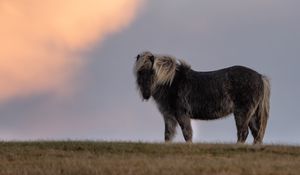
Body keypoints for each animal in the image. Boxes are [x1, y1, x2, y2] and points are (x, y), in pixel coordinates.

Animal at [134, 51, 270, 144]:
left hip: (242, 113)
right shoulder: (169, 116)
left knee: (243, 132)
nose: (146, 94)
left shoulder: (181, 114)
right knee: (256, 134)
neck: (171, 83)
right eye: (139, 72)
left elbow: (187, 133)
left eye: (152, 72)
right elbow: (168, 135)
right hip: (252, 115)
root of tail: (259, 76)